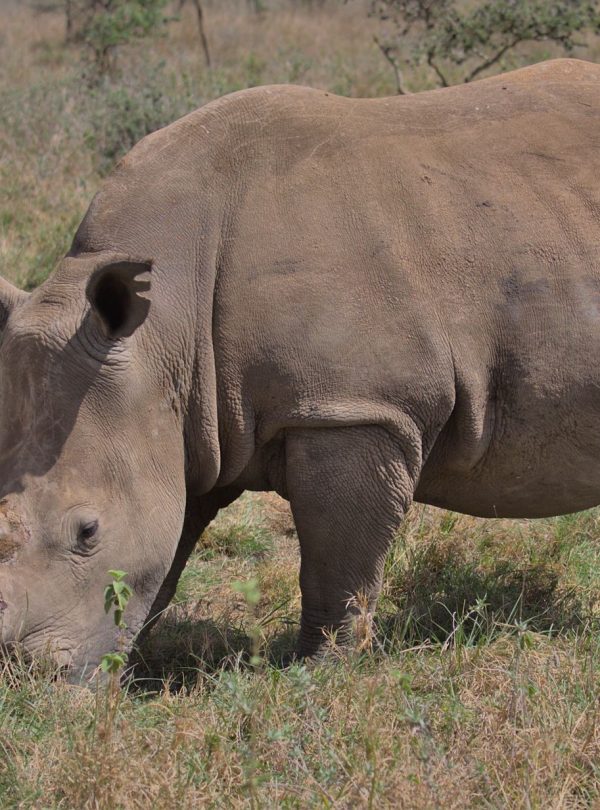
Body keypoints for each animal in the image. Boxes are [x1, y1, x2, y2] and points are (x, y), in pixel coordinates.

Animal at [0, 58, 599, 678]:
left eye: (87, 531)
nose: (24, 677)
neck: (166, 329)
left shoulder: (353, 409)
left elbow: (336, 564)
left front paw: (320, 673)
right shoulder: (192, 423)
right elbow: (165, 561)